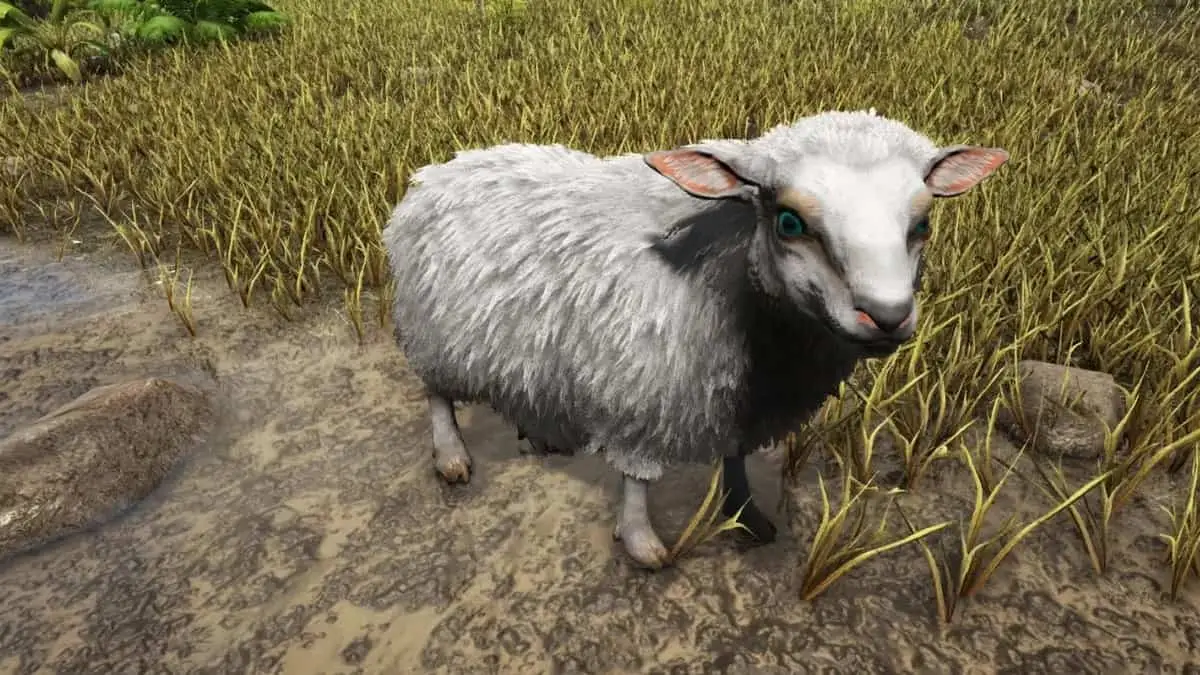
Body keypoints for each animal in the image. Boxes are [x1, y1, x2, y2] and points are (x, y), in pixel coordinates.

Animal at [381, 109, 1009, 569]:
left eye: (922, 224)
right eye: (789, 222)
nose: (887, 315)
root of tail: (443, 167)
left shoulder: (738, 399)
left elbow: (734, 460)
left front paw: (748, 516)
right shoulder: (642, 388)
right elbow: (637, 477)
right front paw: (642, 544)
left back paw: (537, 435)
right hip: (436, 328)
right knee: (436, 395)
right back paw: (452, 457)